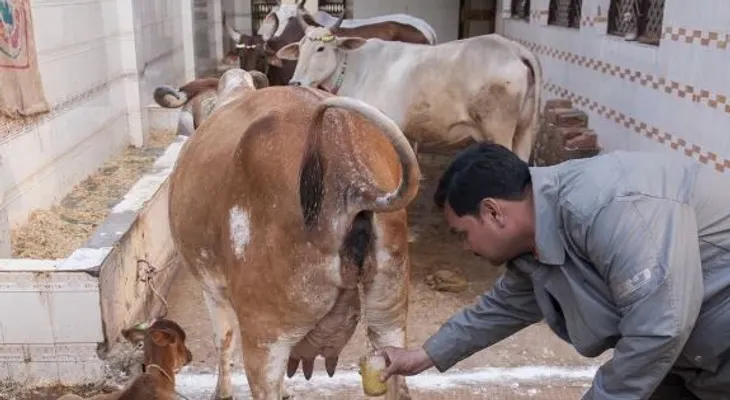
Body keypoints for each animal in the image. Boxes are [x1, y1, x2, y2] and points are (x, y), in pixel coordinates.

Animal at [276, 26, 543, 162]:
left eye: (321, 48)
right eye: (300, 48)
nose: (295, 82)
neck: (355, 67)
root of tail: (514, 49)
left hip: (499, 128)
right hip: (525, 129)